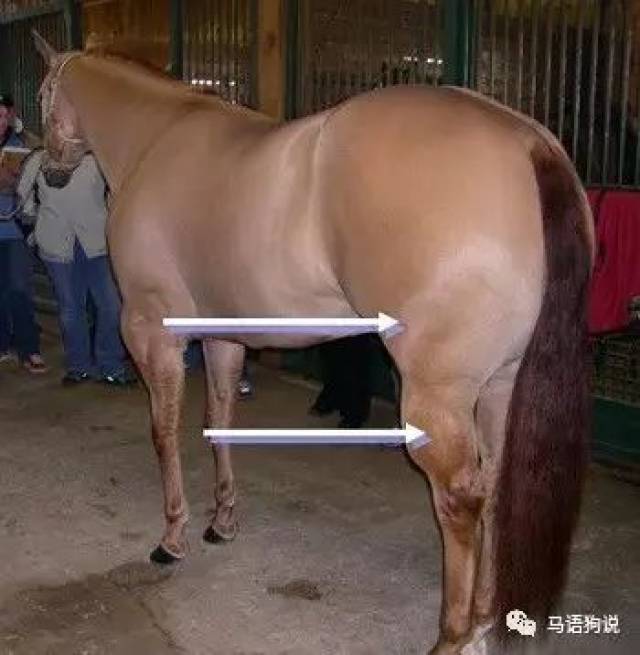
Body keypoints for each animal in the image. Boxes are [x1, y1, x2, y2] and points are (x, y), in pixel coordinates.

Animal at [32, 32, 593, 655]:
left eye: (41, 95)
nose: (49, 173)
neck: (156, 138)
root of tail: (527, 142)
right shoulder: (224, 337)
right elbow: (218, 421)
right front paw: (222, 522)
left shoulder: (150, 332)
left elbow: (164, 432)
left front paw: (173, 536)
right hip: (501, 384)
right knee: (495, 485)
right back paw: (491, 617)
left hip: (437, 398)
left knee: (461, 498)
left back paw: (456, 635)